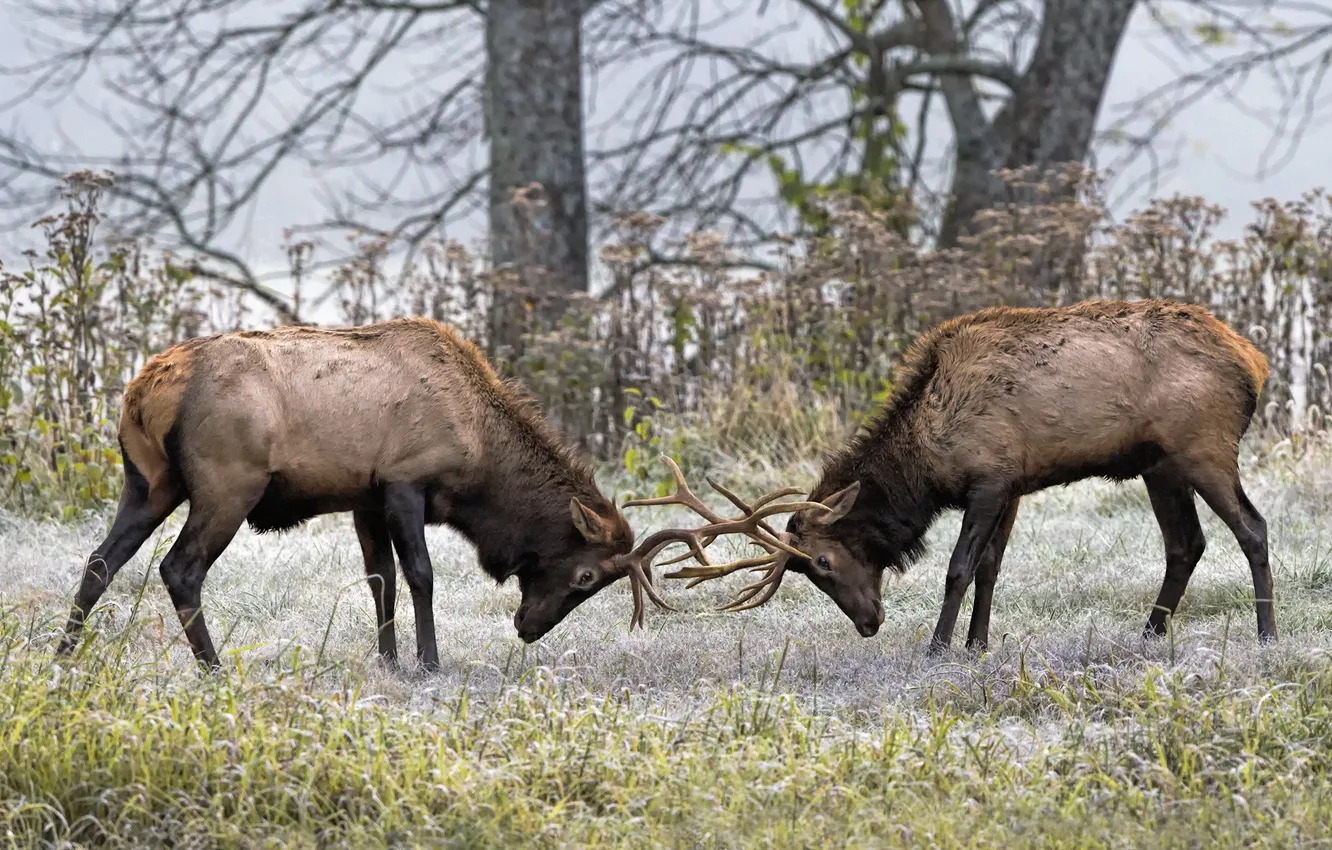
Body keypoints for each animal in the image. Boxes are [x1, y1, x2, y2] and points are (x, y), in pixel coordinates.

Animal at [54, 318, 740, 671]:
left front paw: (387, 659)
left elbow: (378, 576)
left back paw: (63, 655)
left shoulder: (365, 495)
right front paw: (429, 661)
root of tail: (144, 391)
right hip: (227, 482)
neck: (479, 453)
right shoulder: (406, 480)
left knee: (100, 559)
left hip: (147, 481)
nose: (527, 629)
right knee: (180, 567)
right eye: (586, 577)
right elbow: (420, 574)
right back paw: (214, 666)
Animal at [671, 303, 1273, 655]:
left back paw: (1266, 634)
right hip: (1158, 465)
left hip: (1204, 446)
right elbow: (991, 567)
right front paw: (977, 646)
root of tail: (1255, 362)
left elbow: (959, 567)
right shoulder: (1012, 485)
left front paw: (939, 646)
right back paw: (1149, 634)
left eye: (822, 561)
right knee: (1186, 543)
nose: (868, 623)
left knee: (1253, 527)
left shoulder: (988, 478)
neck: (926, 467)